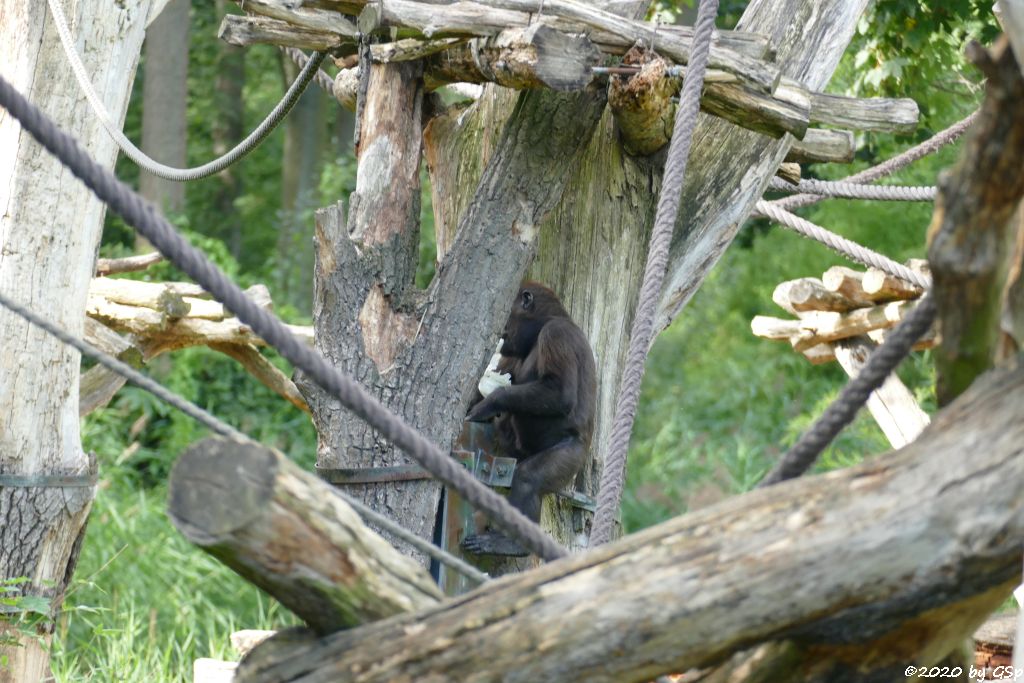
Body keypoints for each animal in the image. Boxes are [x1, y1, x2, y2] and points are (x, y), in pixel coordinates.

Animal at [462, 282, 598, 557]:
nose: (500, 333)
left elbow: (558, 392)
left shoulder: (556, 336)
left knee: (528, 479)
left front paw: (491, 402)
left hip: (572, 457)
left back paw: (512, 544)